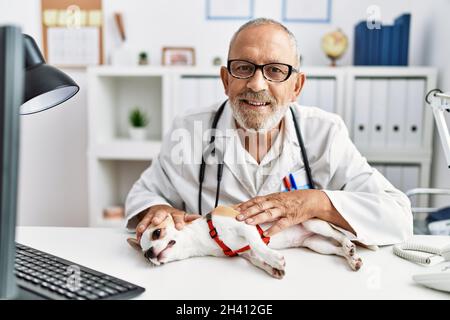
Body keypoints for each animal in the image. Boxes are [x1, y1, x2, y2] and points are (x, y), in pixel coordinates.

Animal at [127, 205, 362, 278]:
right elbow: (257, 259)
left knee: (340, 236)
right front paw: (272, 267)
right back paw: (352, 258)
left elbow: (259, 243)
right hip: (316, 245)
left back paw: (349, 246)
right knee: (335, 249)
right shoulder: (246, 253)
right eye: (144, 255)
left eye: (157, 233)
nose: (149, 254)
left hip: (314, 225)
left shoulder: (245, 226)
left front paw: (275, 258)